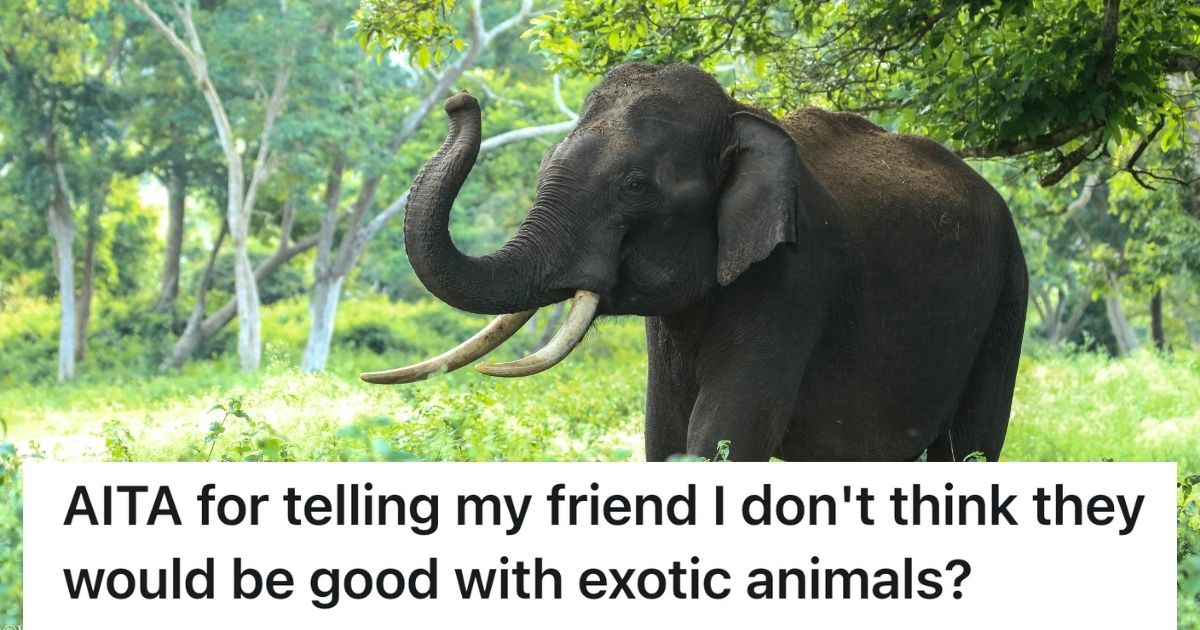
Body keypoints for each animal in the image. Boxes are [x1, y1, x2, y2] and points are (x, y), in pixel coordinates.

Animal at [362, 63, 1028, 463]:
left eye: (634, 185)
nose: (459, 99)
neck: (740, 115)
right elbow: (665, 435)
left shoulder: (797, 275)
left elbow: (722, 433)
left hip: (1009, 294)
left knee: (970, 448)